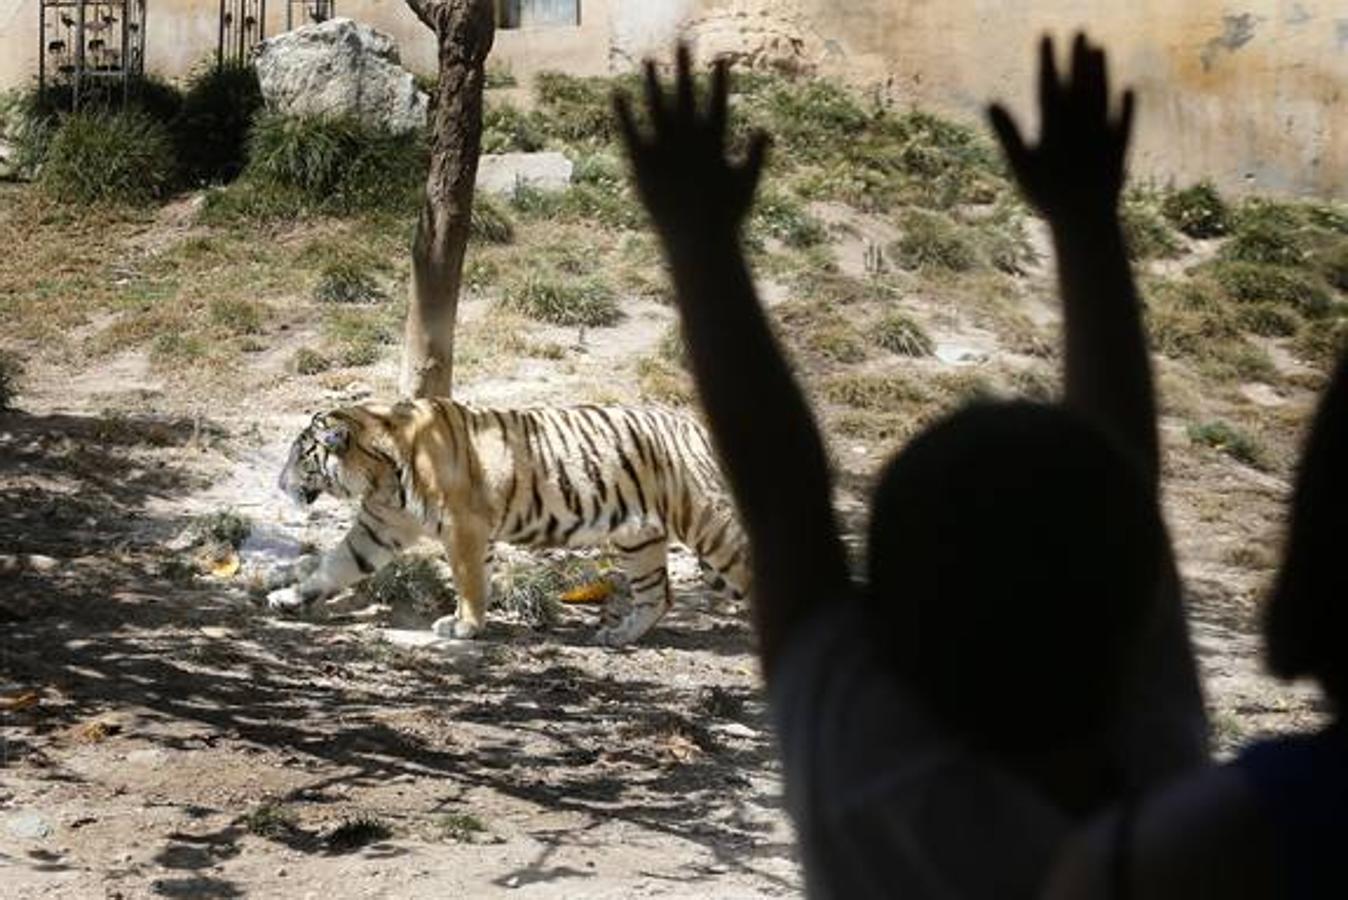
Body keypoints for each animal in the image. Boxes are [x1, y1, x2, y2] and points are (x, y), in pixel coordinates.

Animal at [262, 396, 749, 644]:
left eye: (300, 456)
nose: (279, 482)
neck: (378, 474)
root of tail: (697, 427)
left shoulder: (462, 526)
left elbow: (469, 581)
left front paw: (464, 626)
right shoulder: (378, 528)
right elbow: (335, 566)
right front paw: (289, 597)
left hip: (710, 527)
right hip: (639, 538)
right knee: (658, 595)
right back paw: (620, 635)